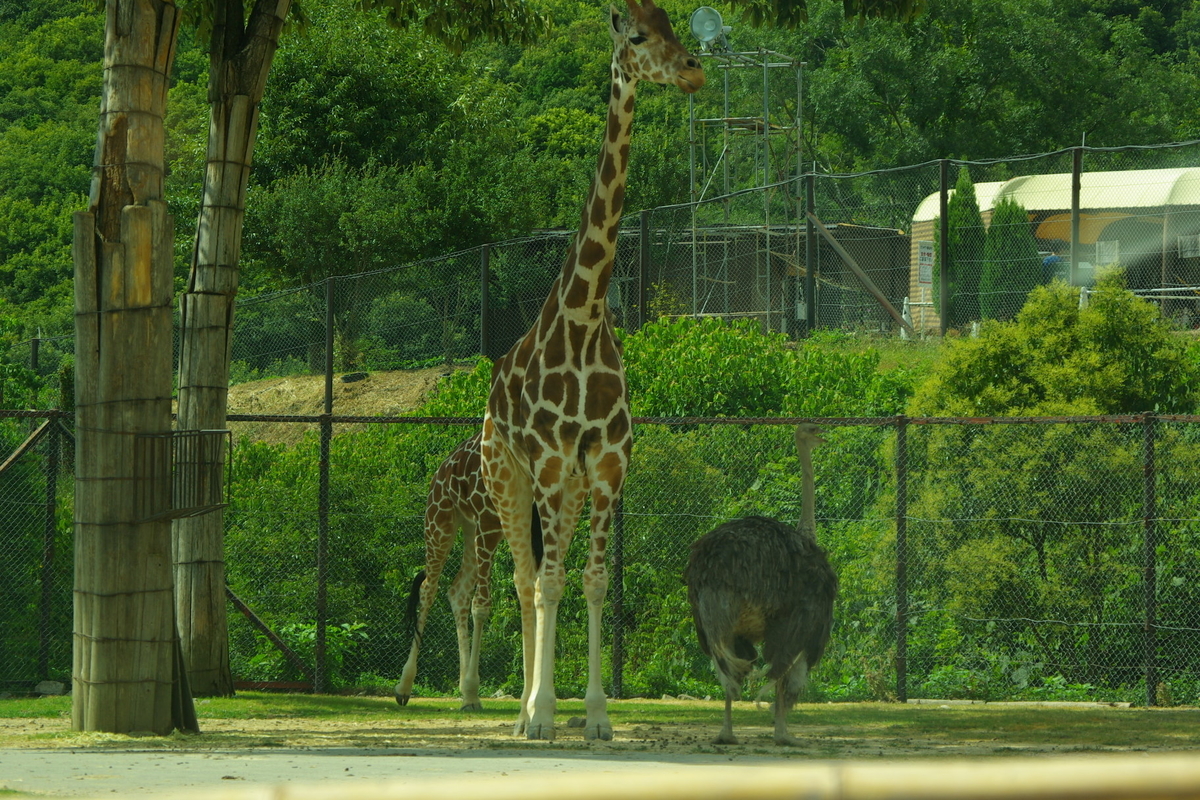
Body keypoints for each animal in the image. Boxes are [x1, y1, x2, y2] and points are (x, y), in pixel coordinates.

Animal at [396, 434, 499, 710]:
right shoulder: (489, 519)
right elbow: (482, 605)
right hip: (441, 520)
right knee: (428, 589)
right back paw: (404, 687)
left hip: (471, 526)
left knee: (458, 591)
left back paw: (466, 691)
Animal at [477, 0, 700, 743]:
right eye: (637, 35)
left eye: (674, 24)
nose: (692, 69)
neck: (585, 313)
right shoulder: (547, 462)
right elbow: (548, 584)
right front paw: (546, 713)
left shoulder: (604, 464)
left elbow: (595, 582)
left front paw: (598, 716)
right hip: (506, 478)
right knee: (524, 580)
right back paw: (523, 713)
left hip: (565, 491)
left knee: (547, 575)